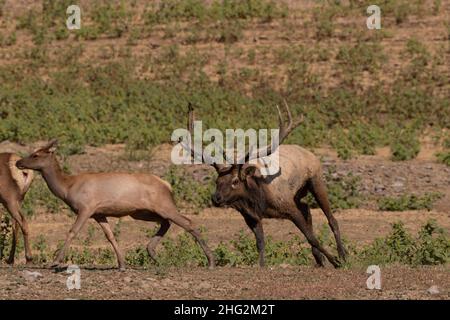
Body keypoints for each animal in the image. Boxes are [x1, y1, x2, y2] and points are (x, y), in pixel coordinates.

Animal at [14, 140, 215, 270]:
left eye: (35, 154)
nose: (18, 162)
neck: (66, 188)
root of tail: (167, 185)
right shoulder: (99, 213)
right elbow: (110, 236)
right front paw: (122, 264)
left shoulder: (86, 207)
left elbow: (72, 231)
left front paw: (56, 262)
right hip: (141, 212)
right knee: (166, 222)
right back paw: (153, 254)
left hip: (164, 205)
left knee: (188, 222)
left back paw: (211, 261)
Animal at [181, 102, 346, 268]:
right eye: (217, 181)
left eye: (235, 181)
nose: (216, 198)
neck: (259, 199)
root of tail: (311, 154)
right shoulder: (251, 216)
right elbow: (260, 242)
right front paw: (261, 265)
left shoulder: (288, 206)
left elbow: (311, 237)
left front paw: (335, 261)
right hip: (298, 196)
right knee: (307, 209)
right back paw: (320, 259)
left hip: (316, 181)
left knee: (331, 219)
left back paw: (342, 255)